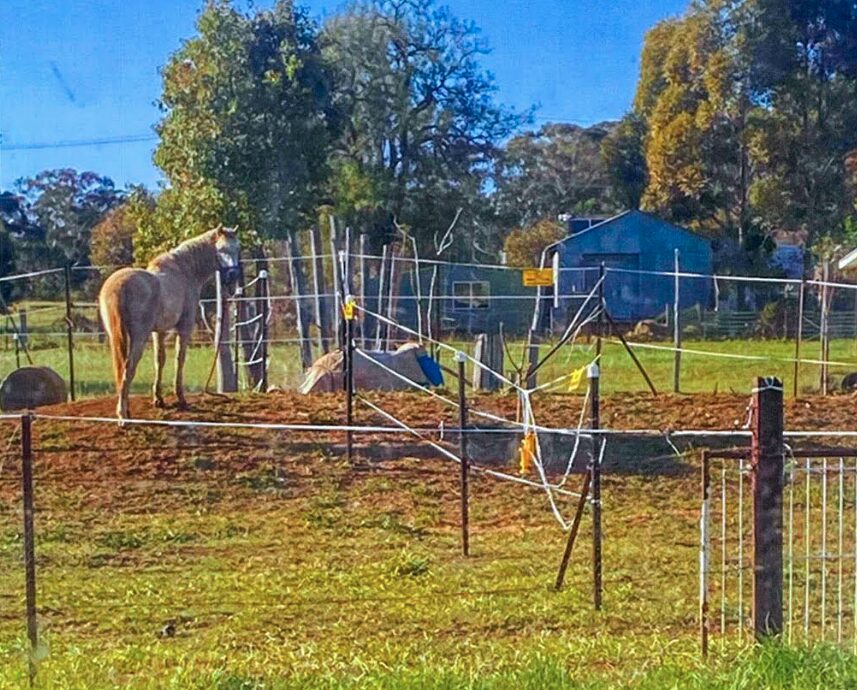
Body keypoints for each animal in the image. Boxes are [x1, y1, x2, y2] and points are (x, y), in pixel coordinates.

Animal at [98, 226, 241, 422]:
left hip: (117, 336)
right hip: (138, 338)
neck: (184, 271)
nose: (233, 275)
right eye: (221, 249)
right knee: (128, 368)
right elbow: (179, 358)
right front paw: (180, 398)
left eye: (237, 248)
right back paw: (123, 416)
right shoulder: (184, 328)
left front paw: (158, 399)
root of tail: (118, 285)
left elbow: (160, 360)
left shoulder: (158, 332)